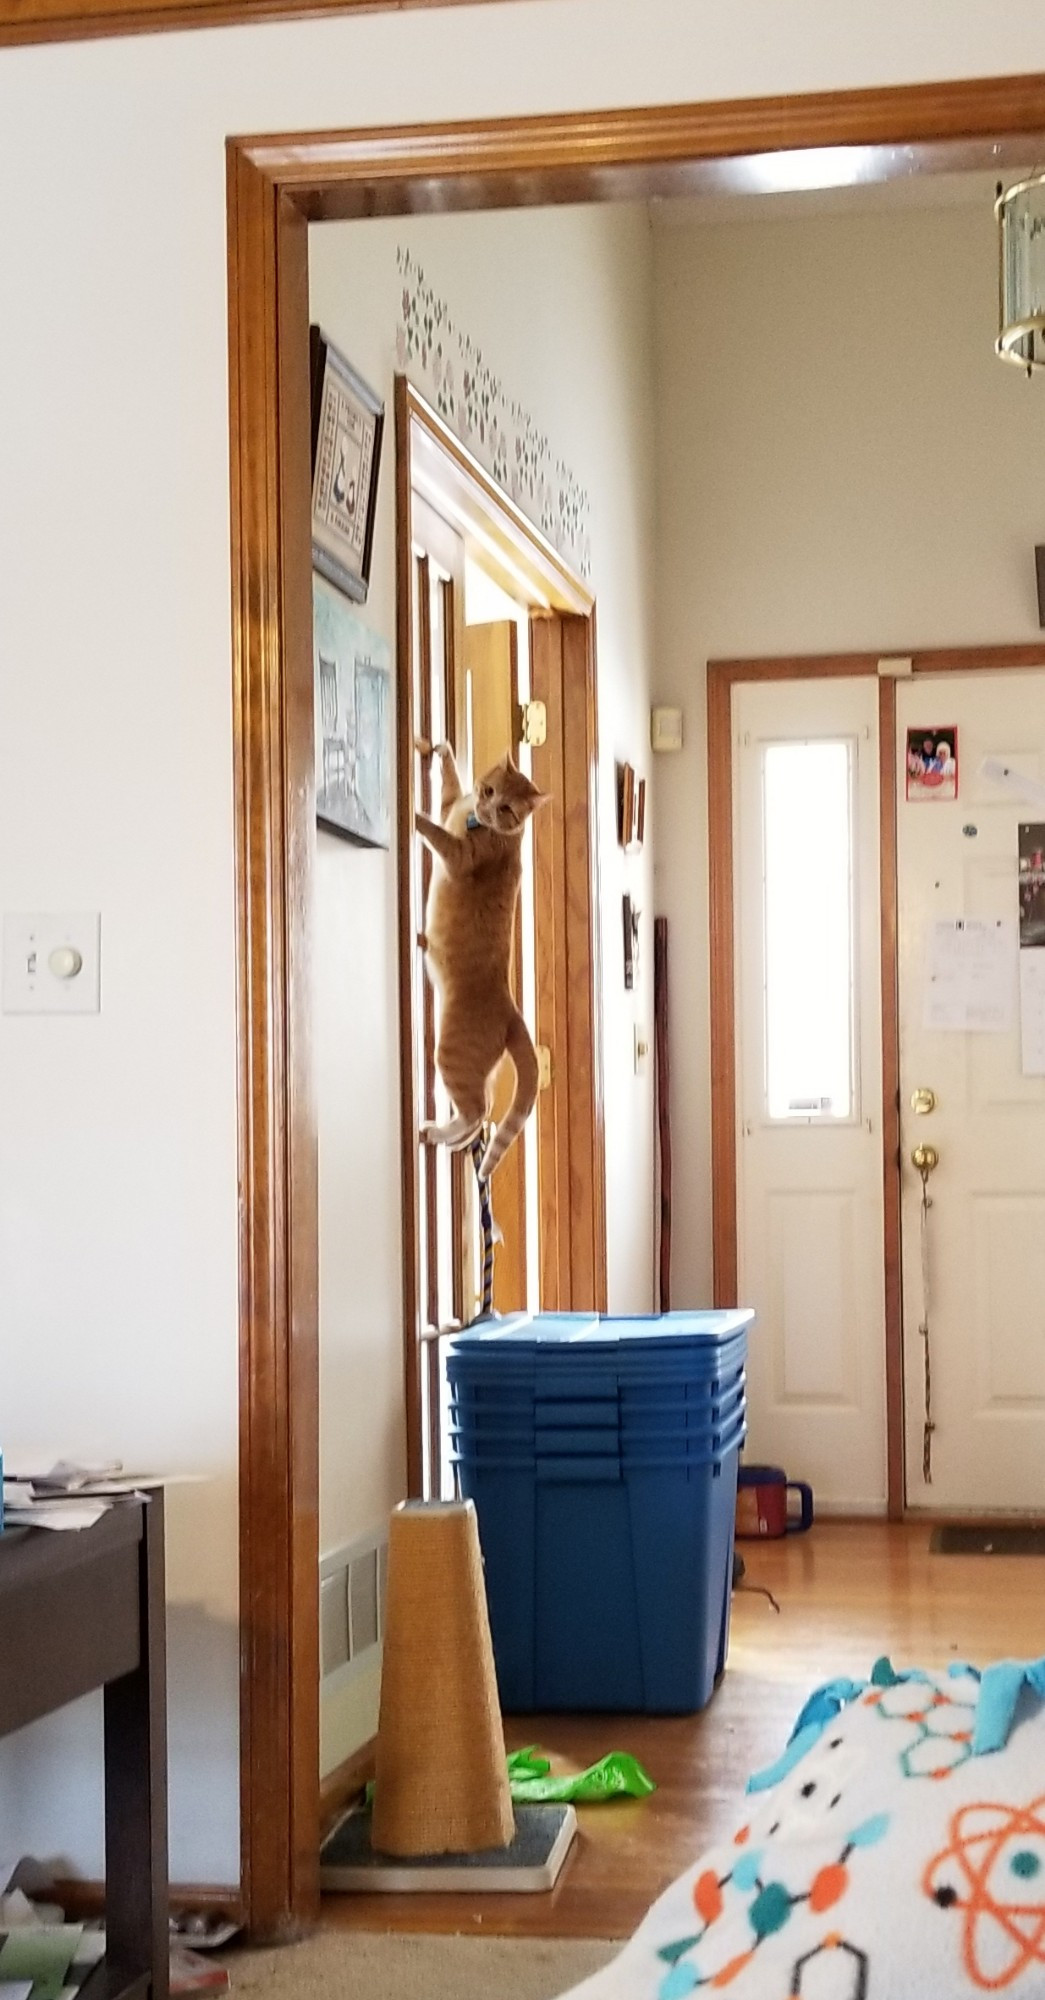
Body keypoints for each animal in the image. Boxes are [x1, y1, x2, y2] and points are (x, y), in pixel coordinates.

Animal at [414, 752, 544, 1184]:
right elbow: (449, 786)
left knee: (477, 1111)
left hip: (451, 1054)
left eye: (507, 809)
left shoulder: (458, 856)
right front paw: (443, 753)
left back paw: (436, 1132)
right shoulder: (451, 804)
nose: (488, 807)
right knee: (480, 1116)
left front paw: (414, 815)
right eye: (488, 790)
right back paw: (450, 1141)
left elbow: (434, 830)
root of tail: (512, 1011)